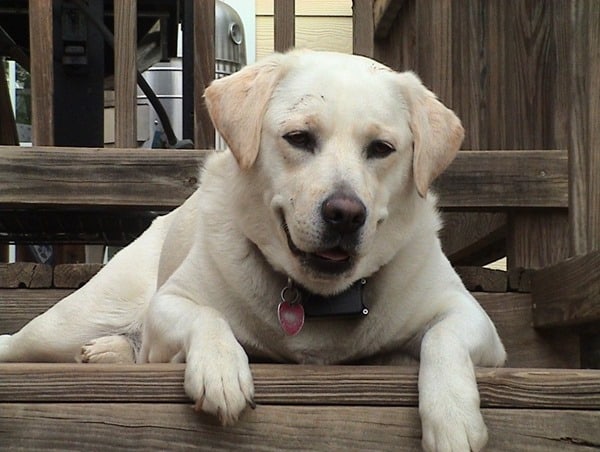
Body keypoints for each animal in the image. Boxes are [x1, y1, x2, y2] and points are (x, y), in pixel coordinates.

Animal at [0, 51, 506, 450]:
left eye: (382, 148)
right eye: (299, 138)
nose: (345, 214)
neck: (316, 301)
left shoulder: (471, 319)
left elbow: (442, 336)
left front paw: (453, 416)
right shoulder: (170, 303)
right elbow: (207, 315)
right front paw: (221, 369)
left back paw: (109, 353)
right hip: (78, 317)